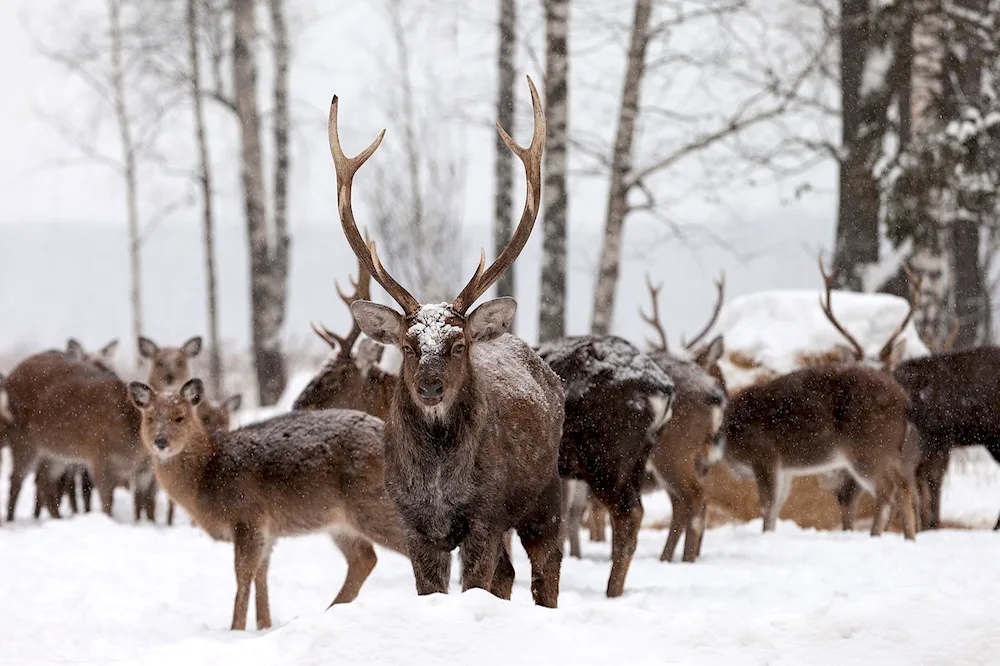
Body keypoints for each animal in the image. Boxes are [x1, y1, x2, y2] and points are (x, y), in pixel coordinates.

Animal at [127, 378, 408, 628]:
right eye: (149, 418)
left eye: (180, 417)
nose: (161, 441)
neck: (207, 473)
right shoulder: (267, 530)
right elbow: (261, 574)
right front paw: (264, 625)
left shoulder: (247, 514)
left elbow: (243, 575)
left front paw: (236, 629)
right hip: (340, 522)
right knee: (364, 559)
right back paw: (331, 610)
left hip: (372, 504)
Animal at [332, 75, 568, 604]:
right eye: (407, 345)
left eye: (458, 345)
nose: (430, 386)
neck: (439, 484)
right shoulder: (414, 526)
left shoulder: (485, 515)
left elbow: (478, 579)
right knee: (508, 574)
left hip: (545, 491)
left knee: (547, 568)